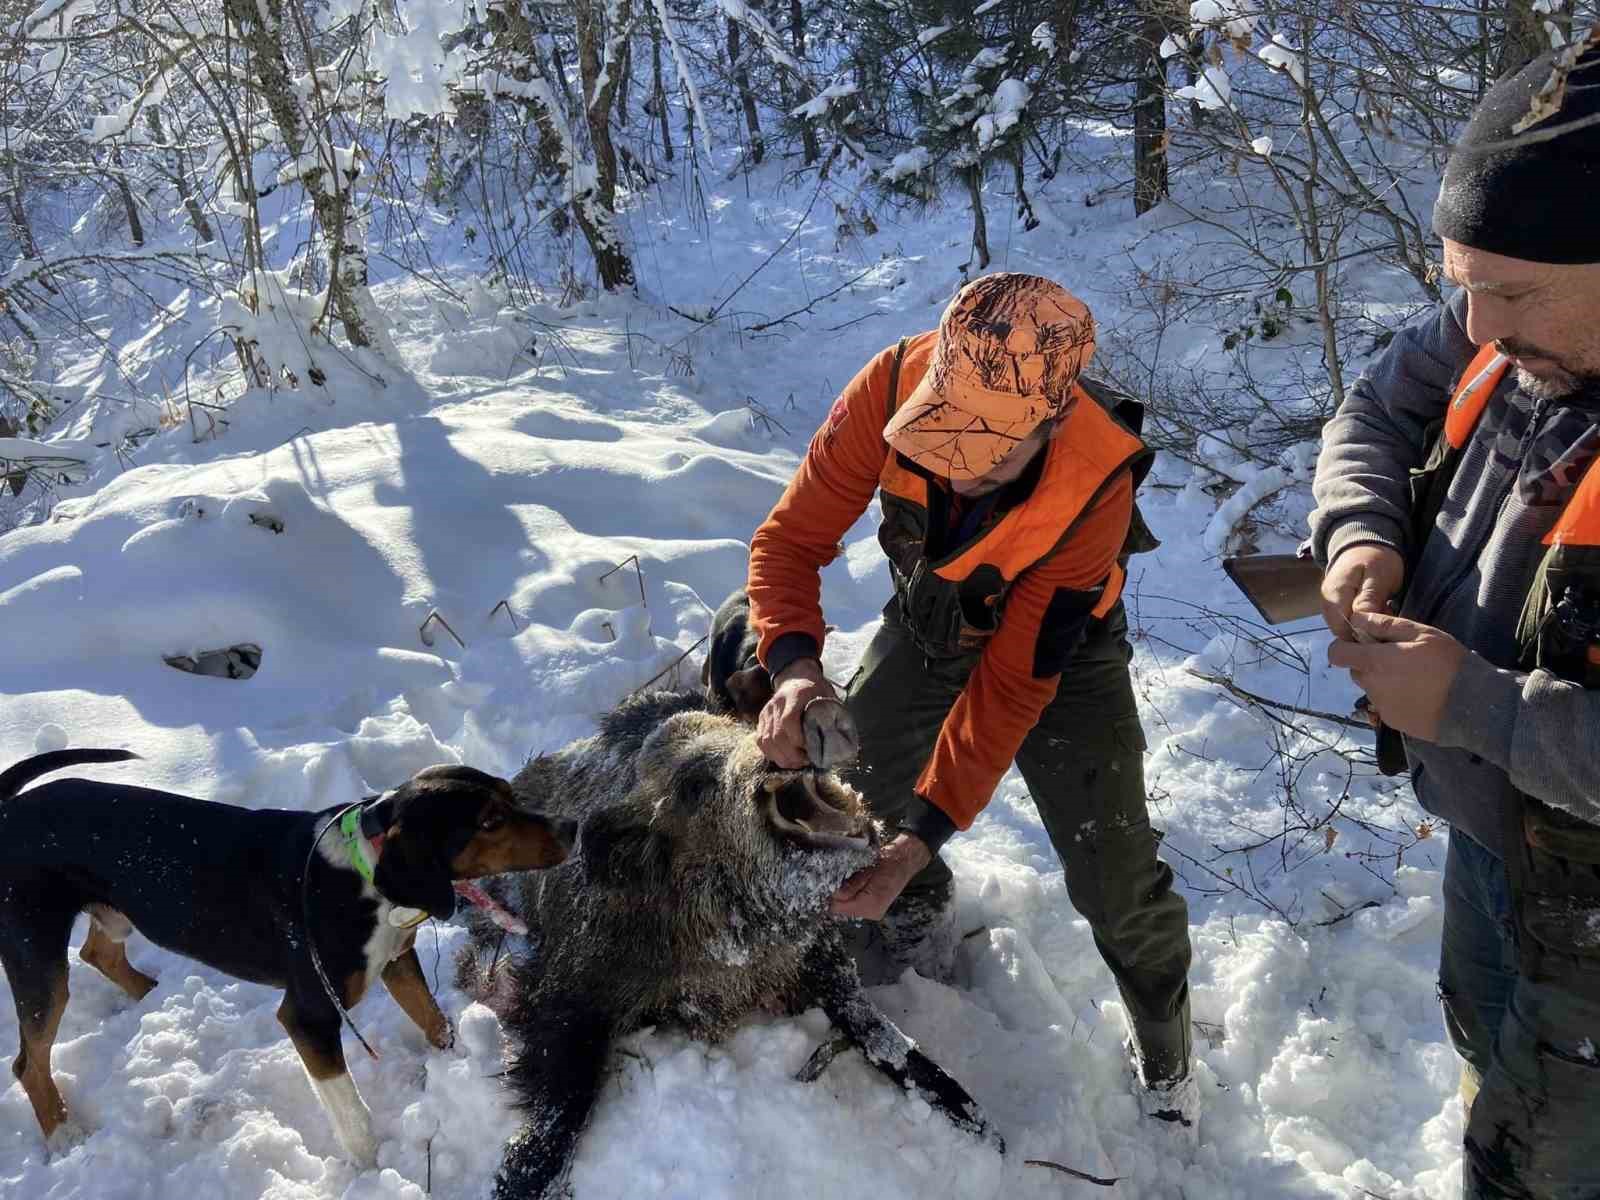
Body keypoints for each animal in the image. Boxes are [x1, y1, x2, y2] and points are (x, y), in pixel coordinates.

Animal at [0, 752, 576, 1164]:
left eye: (508, 794)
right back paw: (64, 1134)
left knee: (98, 951)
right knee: (29, 1060)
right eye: (490, 821)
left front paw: (458, 1067)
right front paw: (372, 1170)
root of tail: (7, 812)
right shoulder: (309, 1017)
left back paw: (148, 994)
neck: (365, 877)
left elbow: (436, 1021)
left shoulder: (397, 961)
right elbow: (354, 1117)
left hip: (113, 912)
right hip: (35, 954)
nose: (572, 827)